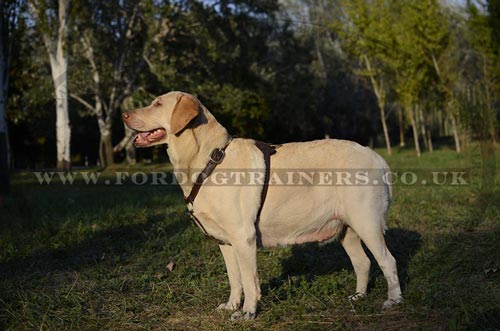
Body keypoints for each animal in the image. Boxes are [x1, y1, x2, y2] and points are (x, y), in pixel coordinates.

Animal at [122, 90, 402, 320]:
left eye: (157, 104)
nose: (123, 114)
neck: (208, 159)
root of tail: (377, 157)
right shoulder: (225, 242)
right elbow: (234, 279)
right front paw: (231, 306)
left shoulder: (243, 237)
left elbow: (249, 280)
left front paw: (248, 312)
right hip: (347, 229)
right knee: (363, 263)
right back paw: (359, 296)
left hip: (367, 223)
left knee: (388, 261)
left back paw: (394, 301)